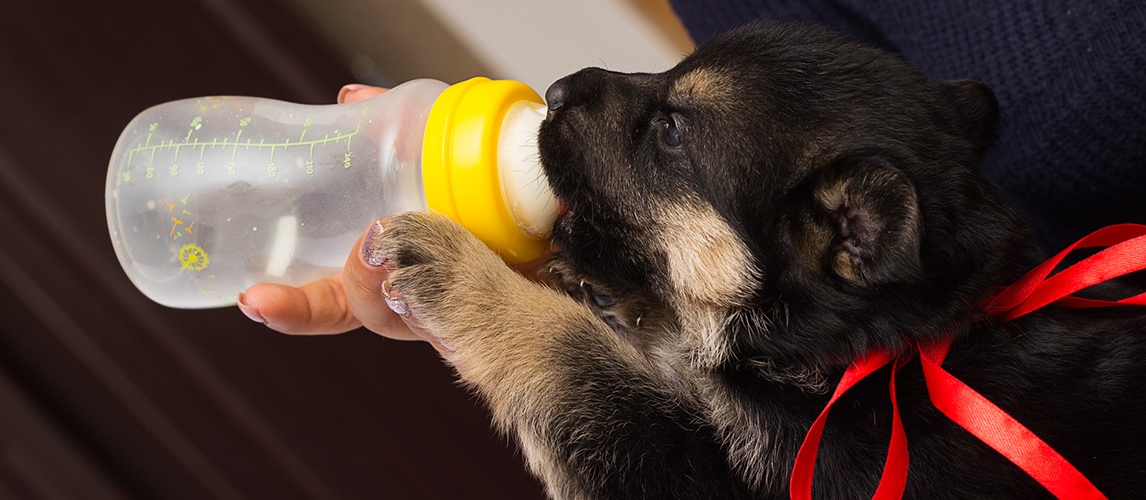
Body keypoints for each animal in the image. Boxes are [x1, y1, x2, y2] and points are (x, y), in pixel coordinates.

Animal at [375, 21, 1146, 497]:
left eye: (671, 130)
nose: (556, 89)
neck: (871, 351)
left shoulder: (694, 470)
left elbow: (573, 356)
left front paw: (461, 272)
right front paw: (615, 298)